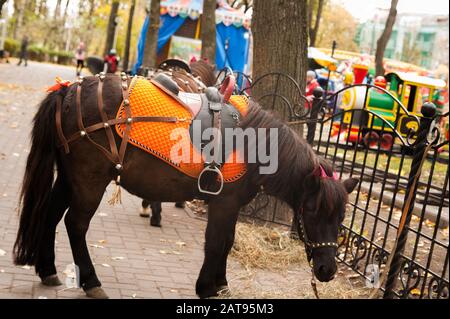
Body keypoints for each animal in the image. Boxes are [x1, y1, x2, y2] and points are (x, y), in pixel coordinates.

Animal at [12, 75, 358, 300]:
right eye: (311, 211)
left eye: (341, 218)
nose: (327, 270)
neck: (252, 142)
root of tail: (68, 91)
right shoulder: (224, 202)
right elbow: (216, 243)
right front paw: (207, 287)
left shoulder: (231, 205)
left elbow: (227, 242)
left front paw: (221, 284)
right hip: (89, 180)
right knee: (75, 223)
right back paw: (91, 281)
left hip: (69, 178)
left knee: (50, 215)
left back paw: (48, 269)